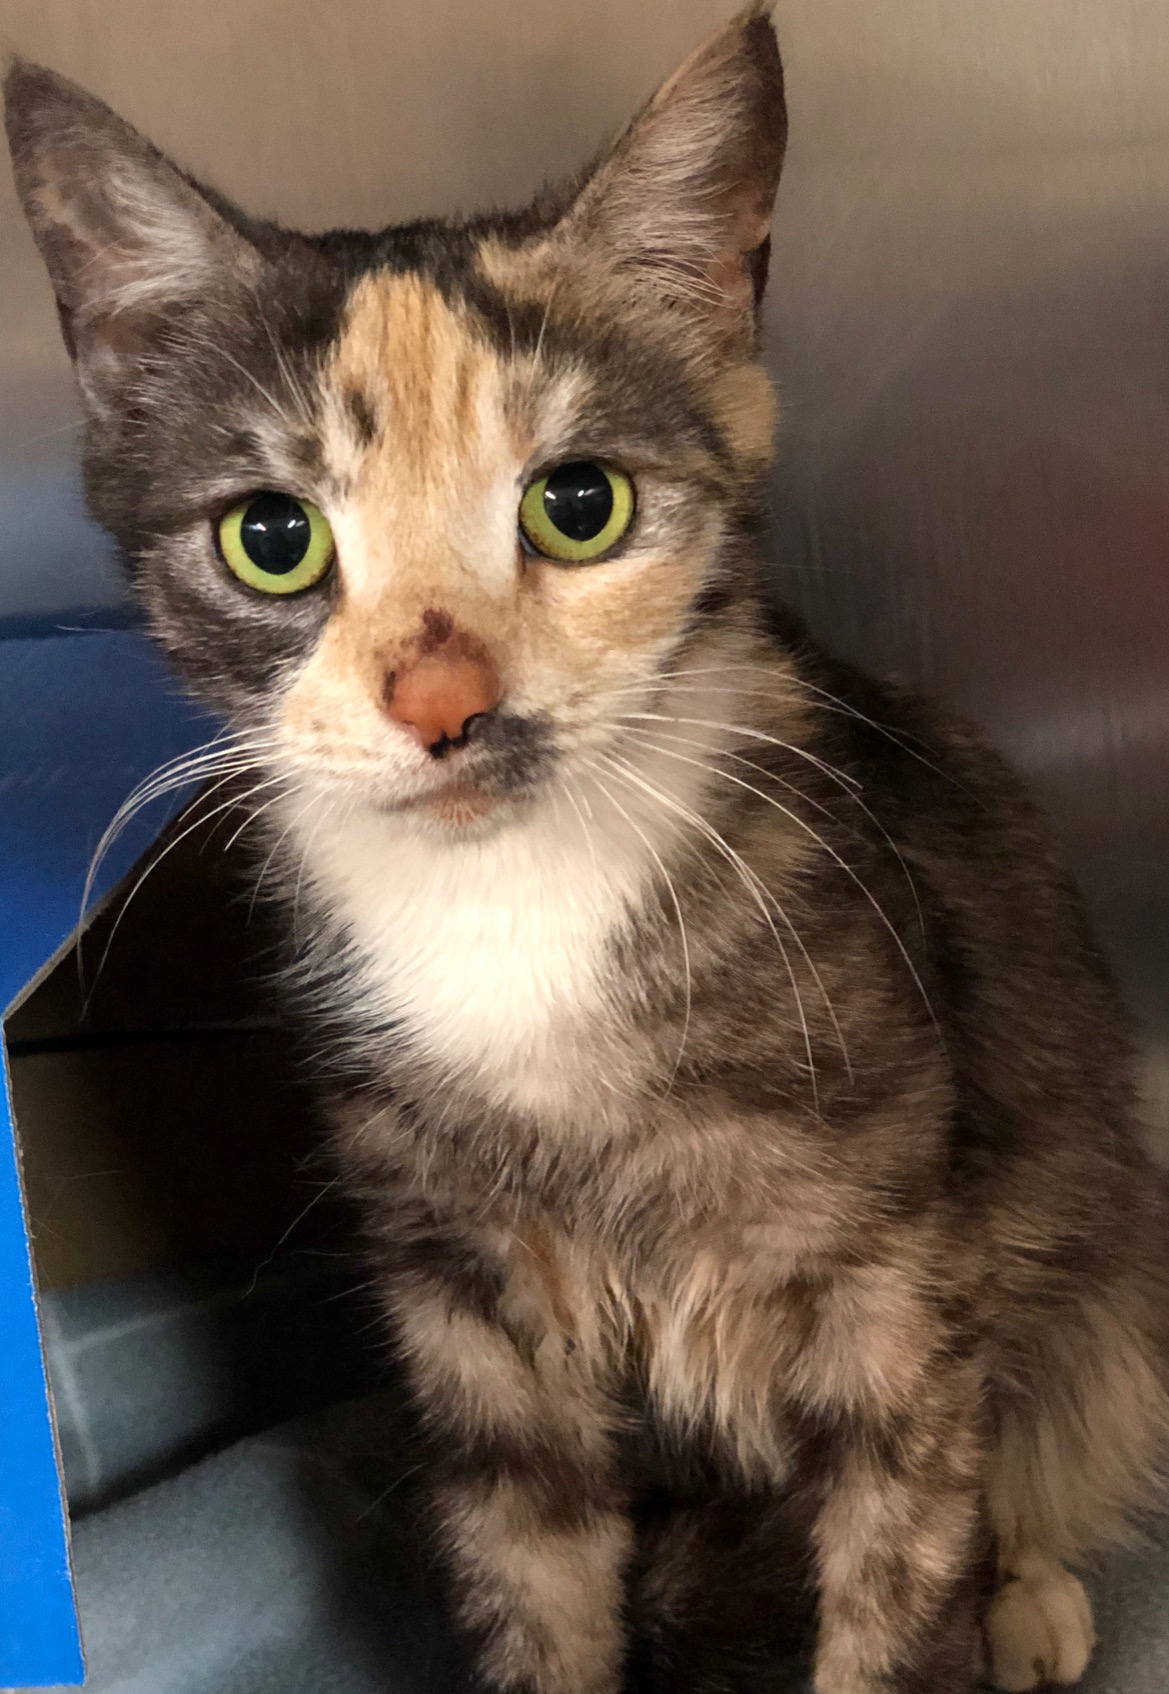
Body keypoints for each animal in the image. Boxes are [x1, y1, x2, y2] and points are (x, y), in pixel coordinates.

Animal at [7, 8, 1169, 1692]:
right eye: (270, 539)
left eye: (578, 504)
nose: (439, 700)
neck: (512, 908)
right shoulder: (463, 1309)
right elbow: (530, 1565)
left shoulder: (893, 1272)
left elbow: (902, 1556)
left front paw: (939, 1613)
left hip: (1101, 1263)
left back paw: (1028, 1598)